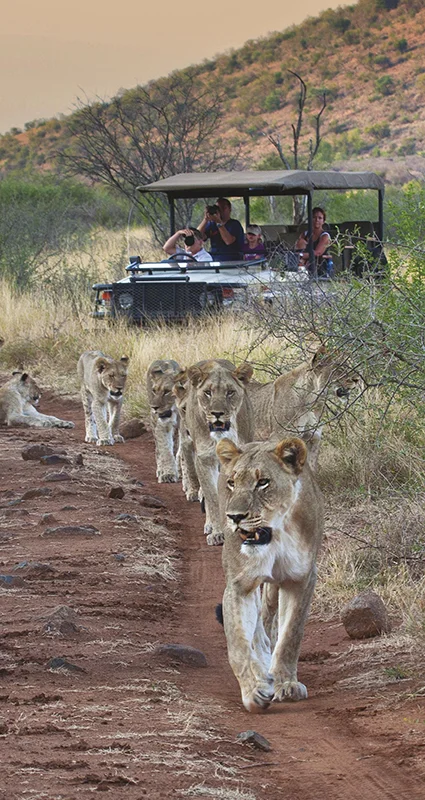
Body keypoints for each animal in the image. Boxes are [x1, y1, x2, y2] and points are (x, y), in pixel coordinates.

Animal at [184, 359, 254, 545]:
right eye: (208, 392)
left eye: (230, 392)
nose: (217, 414)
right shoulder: (204, 459)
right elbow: (212, 497)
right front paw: (217, 533)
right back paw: (209, 525)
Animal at [216, 435, 323, 713]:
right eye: (232, 483)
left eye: (263, 482)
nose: (235, 517)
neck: (276, 534)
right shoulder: (239, 584)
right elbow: (238, 646)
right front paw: (253, 691)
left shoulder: (301, 579)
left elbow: (290, 637)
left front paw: (287, 684)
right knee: (256, 631)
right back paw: (263, 673)